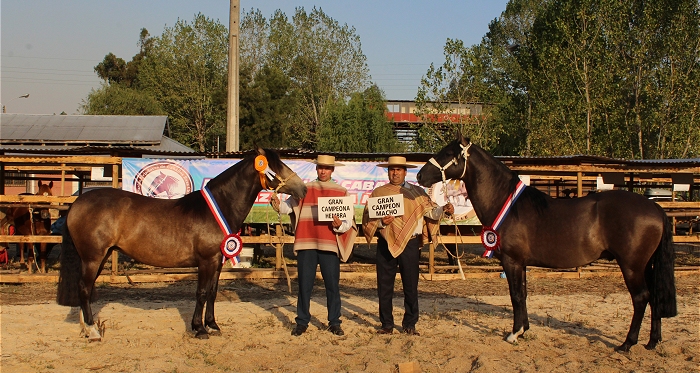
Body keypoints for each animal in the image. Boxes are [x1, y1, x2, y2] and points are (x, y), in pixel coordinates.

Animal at [54, 147, 306, 340]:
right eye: (276, 167)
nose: (302, 188)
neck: (217, 207)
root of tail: (78, 202)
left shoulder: (217, 260)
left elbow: (212, 292)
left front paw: (213, 325)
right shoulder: (206, 261)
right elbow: (201, 292)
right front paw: (199, 329)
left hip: (100, 256)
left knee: (85, 290)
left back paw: (87, 328)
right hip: (92, 257)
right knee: (84, 288)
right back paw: (93, 330)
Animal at [418, 134, 676, 352]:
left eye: (447, 153)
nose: (420, 175)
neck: (507, 203)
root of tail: (654, 207)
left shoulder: (512, 261)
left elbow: (516, 295)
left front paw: (514, 334)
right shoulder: (520, 263)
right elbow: (522, 294)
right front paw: (523, 330)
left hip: (632, 266)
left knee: (641, 298)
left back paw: (627, 344)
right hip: (647, 266)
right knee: (655, 296)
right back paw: (652, 342)